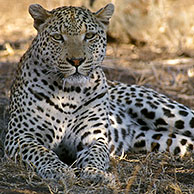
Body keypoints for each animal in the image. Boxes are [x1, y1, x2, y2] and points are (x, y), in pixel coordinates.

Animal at [3, 2, 194, 185]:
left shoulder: (94, 138)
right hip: (156, 139)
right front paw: (59, 170)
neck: (69, 93)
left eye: (89, 36)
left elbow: (96, 156)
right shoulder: (20, 136)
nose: (76, 61)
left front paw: (95, 173)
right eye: (57, 37)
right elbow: (42, 153)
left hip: (168, 111)